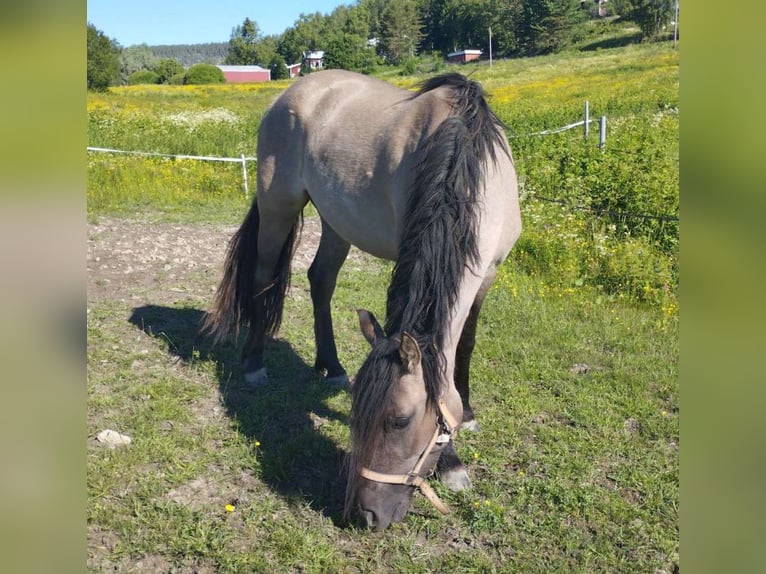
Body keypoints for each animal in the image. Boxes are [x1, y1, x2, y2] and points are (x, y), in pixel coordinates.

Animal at [206, 71, 520, 532]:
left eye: (398, 420)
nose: (367, 514)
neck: (467, 163)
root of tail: (293, 91)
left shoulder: (488, 272)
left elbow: (464, 346)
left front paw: (467, 416)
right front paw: (452, 461)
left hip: (336, 220)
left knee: (321, 280)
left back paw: (332, 366)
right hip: (278, 205)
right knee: (264, 279)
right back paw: (254, 364)